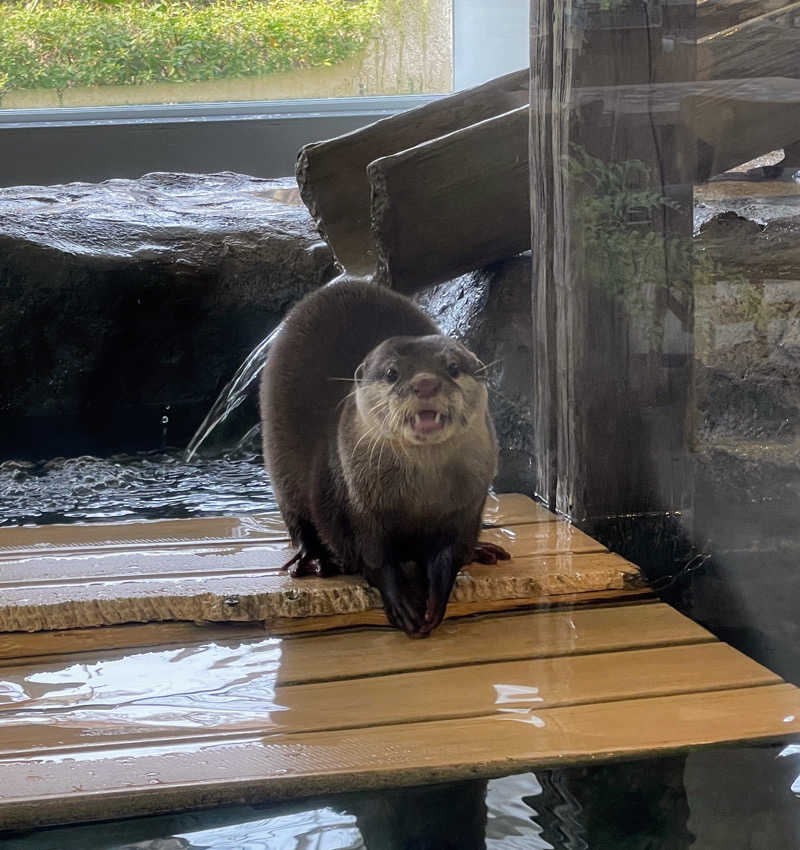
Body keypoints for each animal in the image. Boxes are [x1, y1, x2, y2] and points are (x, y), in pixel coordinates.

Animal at [262, 280, 512, 636]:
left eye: (452, 368)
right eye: (392, 373)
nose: (425, 382)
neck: (420, 498)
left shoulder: (466, 509)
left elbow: (448, 554)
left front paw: (435, 599)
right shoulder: (357, 508)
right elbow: (374, 558)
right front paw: (402, 603)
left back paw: (481, 551)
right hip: (282, 467)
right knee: (299, 519)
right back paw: (315, 559)